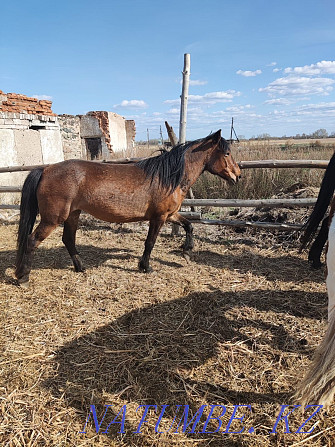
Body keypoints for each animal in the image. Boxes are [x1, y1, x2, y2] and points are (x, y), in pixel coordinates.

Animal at [15, 130, 242, 286]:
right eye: (227, 153)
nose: (238, 176)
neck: (168, 176)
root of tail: (46, 169)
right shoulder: (158, 217)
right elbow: (150, 242)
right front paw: (145, 267)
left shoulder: (170, 214)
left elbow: (189, 226)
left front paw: (186, 251)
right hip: (53, 219)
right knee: (32, 240)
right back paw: (23, 277)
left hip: (73, 214)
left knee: (68, 240)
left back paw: (80, 268)